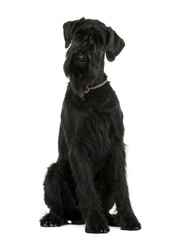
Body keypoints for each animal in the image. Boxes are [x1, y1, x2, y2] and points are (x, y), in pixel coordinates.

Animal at [40, 17, 141, 233]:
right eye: (78, 36)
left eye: (99, 41)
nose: (80, 58)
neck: (91, 91)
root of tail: (77, 216)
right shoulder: (78, 145)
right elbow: (86, 185)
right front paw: (95, 222)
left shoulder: (117, 144)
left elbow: (122, 184)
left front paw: (129, 218)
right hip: (54, 171)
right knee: (58, 208)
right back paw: (53, 218)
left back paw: (111, 218)